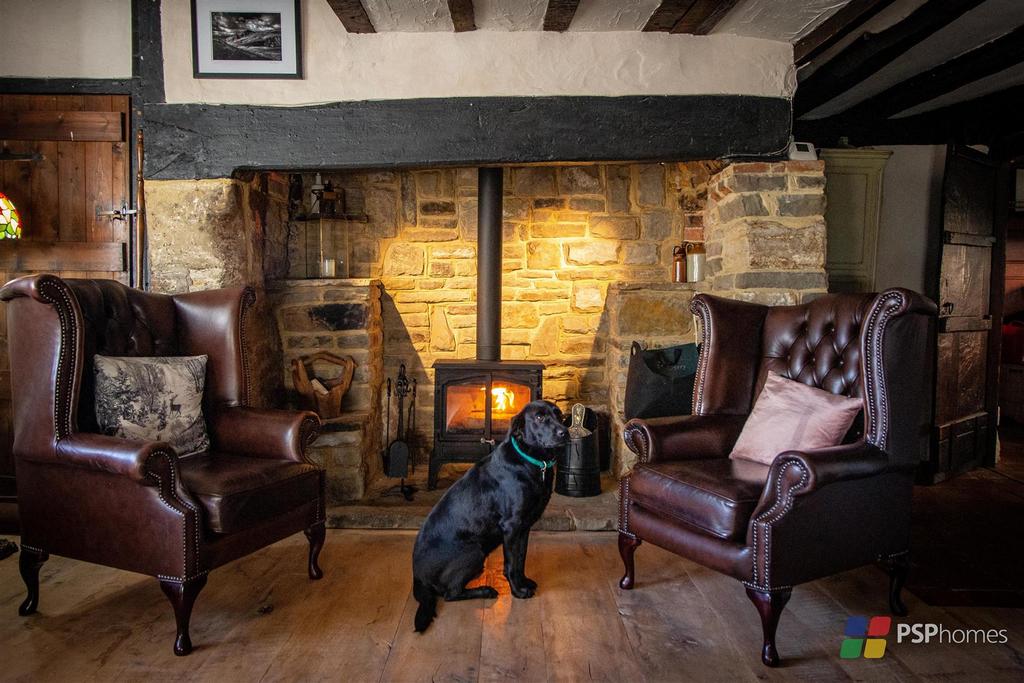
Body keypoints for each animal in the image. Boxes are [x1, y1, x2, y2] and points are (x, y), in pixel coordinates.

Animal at [411, 397, 569, 634]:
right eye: (540, 417)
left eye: (559, 414)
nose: (564, 432)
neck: (532, 461)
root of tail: (417, 577)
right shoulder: (512, 527)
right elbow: (511, 563)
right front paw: (518, 592)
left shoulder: (524, 527)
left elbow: (520, 559)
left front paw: (524, 582)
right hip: (474, 552)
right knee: (450, 594)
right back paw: (485, 590)